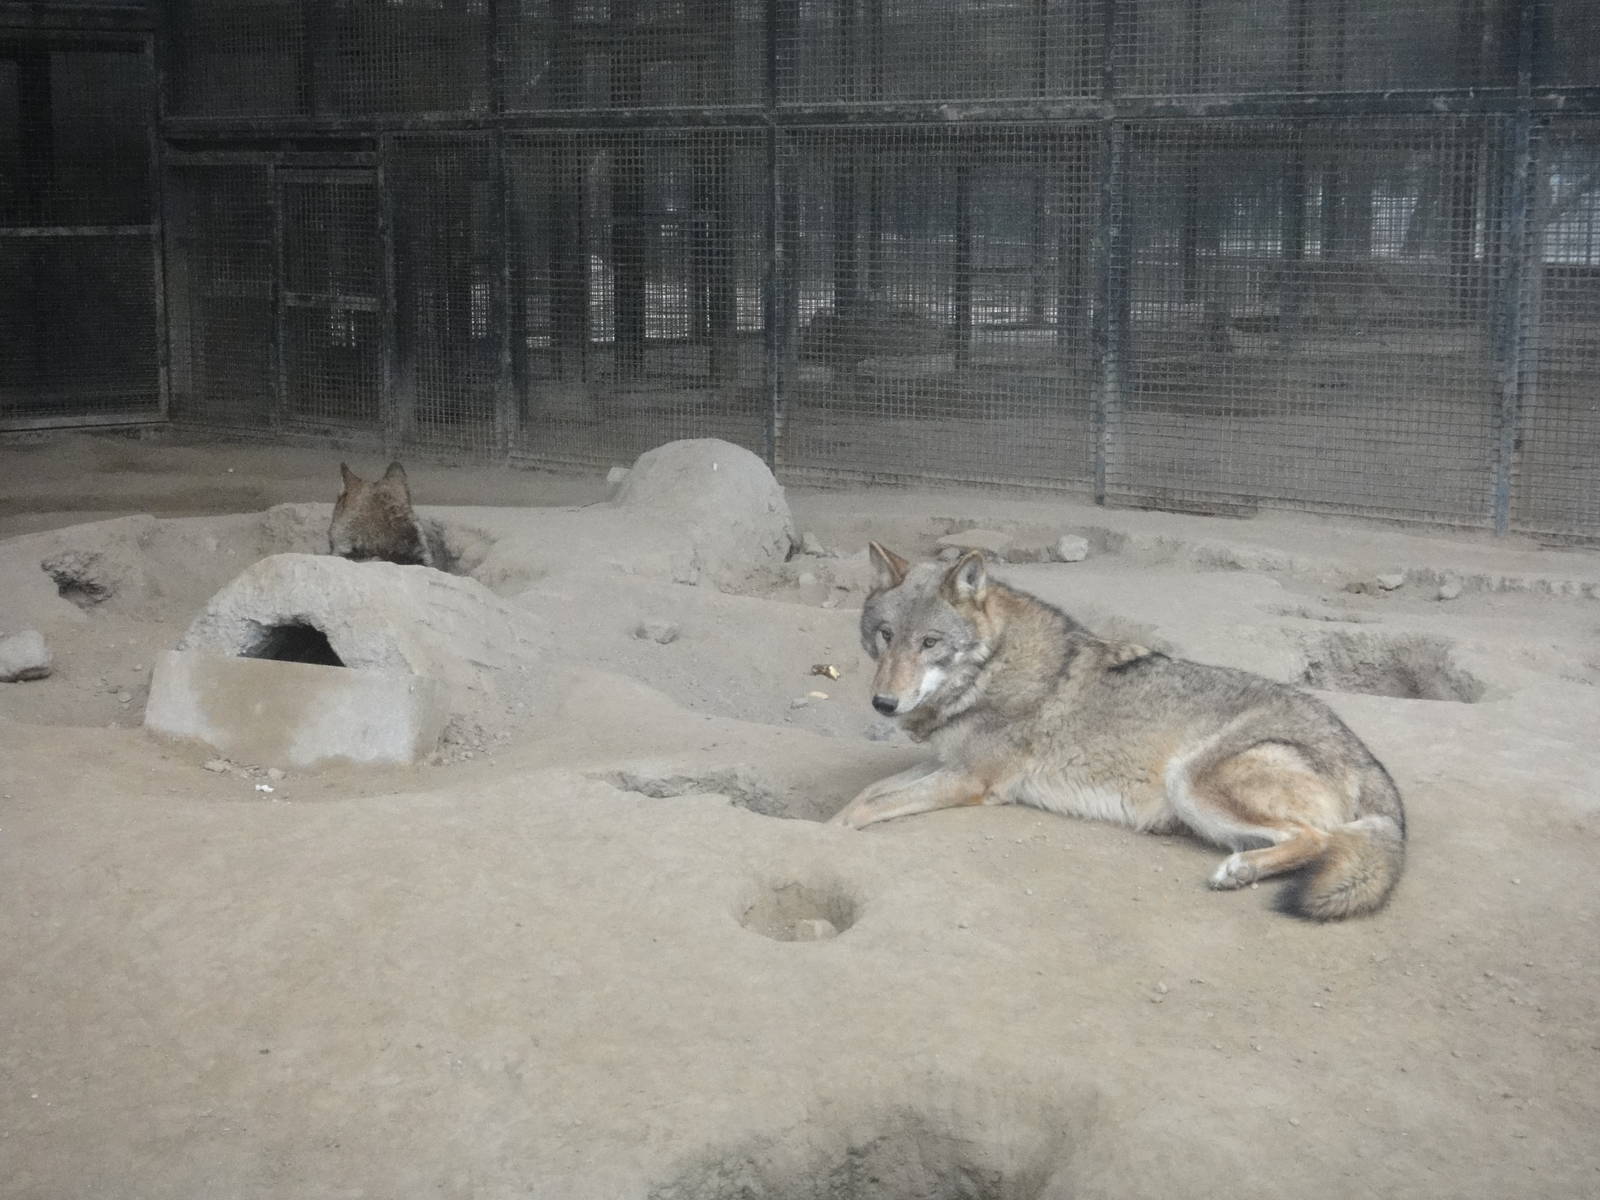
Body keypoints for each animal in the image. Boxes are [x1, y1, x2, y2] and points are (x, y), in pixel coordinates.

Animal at [829, 545, 1406, 921]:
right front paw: (826, 820)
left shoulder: (969, 781)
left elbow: (865, 809)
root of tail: (1369, 760)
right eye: (886, 636)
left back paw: (1238, 871)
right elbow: (864, 794)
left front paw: (829, 834)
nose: (884, 703)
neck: (990, 668)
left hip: (1193, 782)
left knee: (1320, 839)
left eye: (929, 642)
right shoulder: (945, 763)